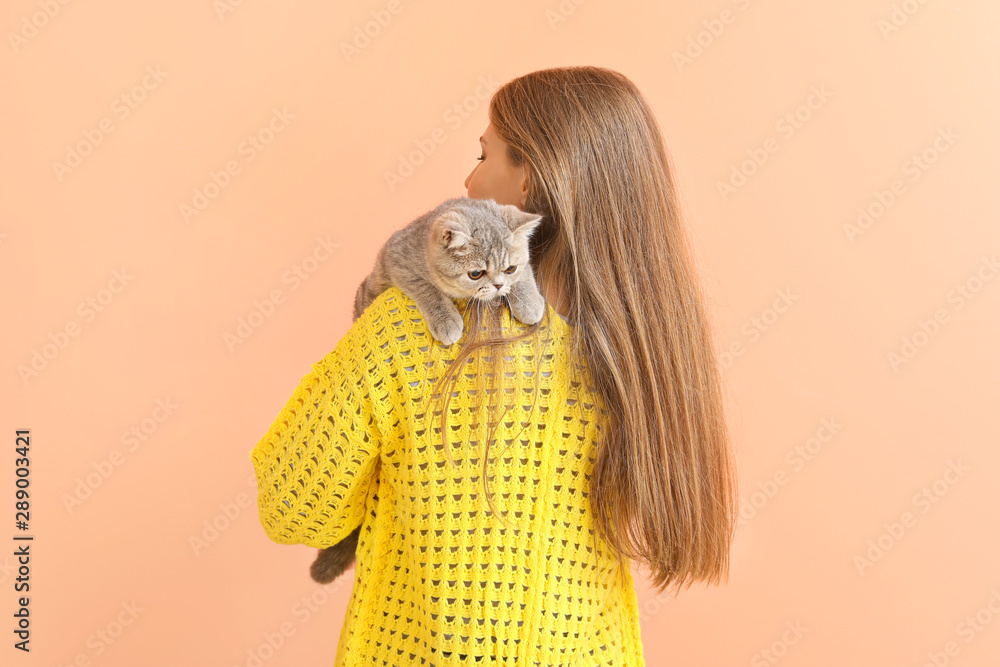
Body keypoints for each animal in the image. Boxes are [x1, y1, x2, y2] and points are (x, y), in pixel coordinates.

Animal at [312, 194, 548, 584]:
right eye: (476, 273)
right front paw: (446, 319)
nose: (499, 287)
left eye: (509, 268)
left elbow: (528, 275)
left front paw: (528, 300)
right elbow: (426, 288)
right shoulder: (397, 260)